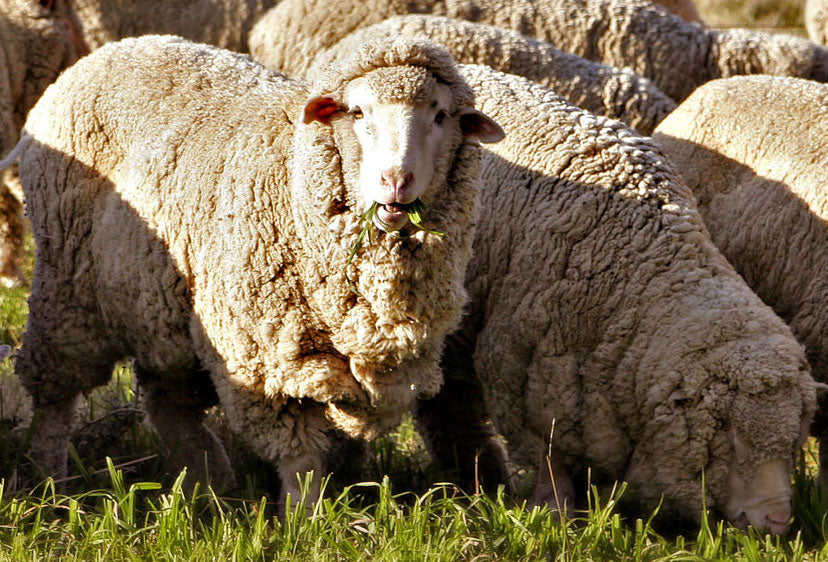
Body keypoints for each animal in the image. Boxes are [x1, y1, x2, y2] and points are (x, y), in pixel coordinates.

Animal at [8, 34, 503, 503]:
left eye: (441, 116)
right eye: (358, 112)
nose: (396, 182)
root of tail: (108, 51)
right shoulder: (263, 357)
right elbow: (300, 457)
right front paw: (304, 519)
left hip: (162, 307)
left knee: (167, 398)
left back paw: (210, 484)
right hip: (66, 285)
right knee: (56, 393)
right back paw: (51, 480)